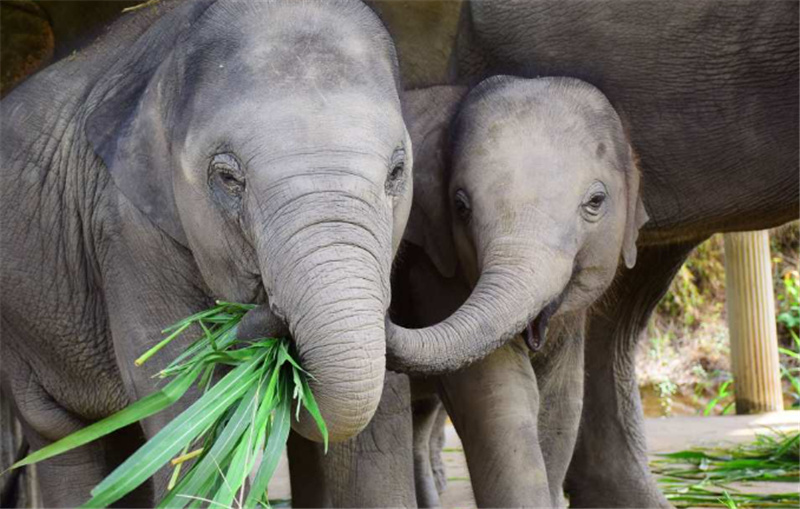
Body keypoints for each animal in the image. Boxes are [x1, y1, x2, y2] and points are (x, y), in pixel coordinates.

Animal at [0, 0, 414, 505]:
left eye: (397, 171)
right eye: (228, 178)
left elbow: (374, 420)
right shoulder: (125, 228)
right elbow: (182, 396)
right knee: (63, 436)